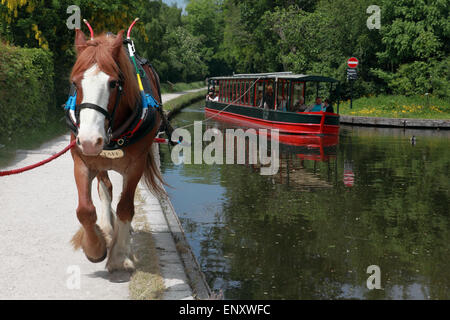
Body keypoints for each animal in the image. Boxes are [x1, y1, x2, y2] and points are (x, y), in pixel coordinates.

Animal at [68, 28, 163, 272]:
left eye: (112, 84)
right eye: (75, 83)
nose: (90, 140)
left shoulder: (136, 165)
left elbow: (125, 207)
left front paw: (119, 255)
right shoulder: (82, 161)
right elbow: (85, 209)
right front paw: (95, 247)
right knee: (106, 189)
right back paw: (107, 227)